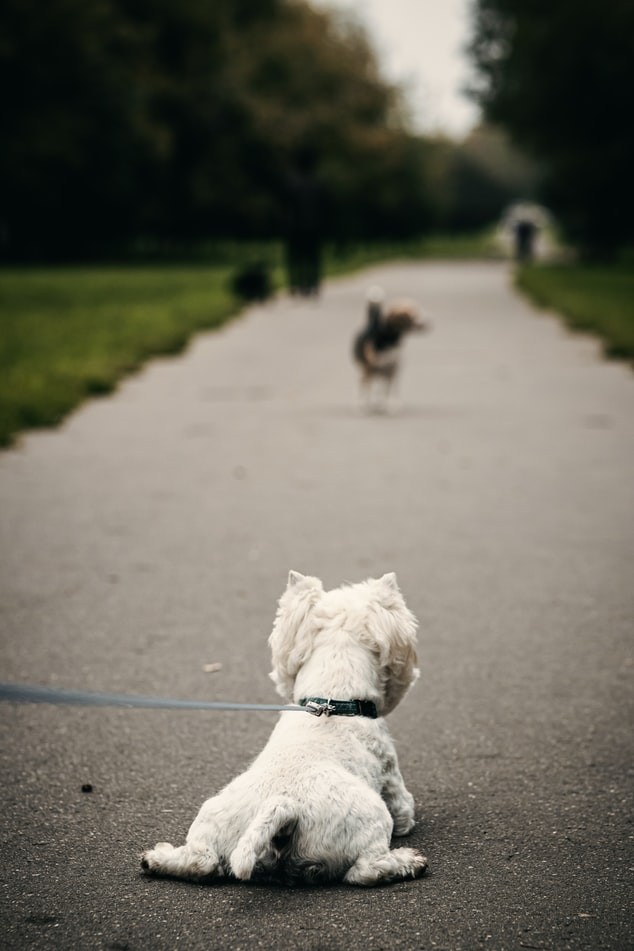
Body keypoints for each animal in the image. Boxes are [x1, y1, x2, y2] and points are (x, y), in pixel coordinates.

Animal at [141, 568, 428, 888]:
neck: (333, 696)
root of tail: (285, 806)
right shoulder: (390, 772)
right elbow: (404, 807)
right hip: (371, 821)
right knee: (365, 870)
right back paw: (408, 861)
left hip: (212, 821)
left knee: (200, 861)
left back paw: (156, 857)